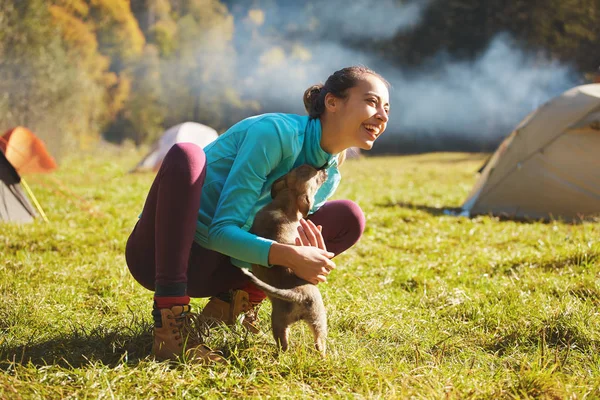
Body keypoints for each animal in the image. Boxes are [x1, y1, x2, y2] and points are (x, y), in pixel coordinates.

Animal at [241, 164, 330, 354]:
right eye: (316, 174)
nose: (325, 168)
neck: (285, 201)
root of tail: (297, 295)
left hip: (282, 323)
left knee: (286, 347)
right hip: (317, 319)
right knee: (320, 345)